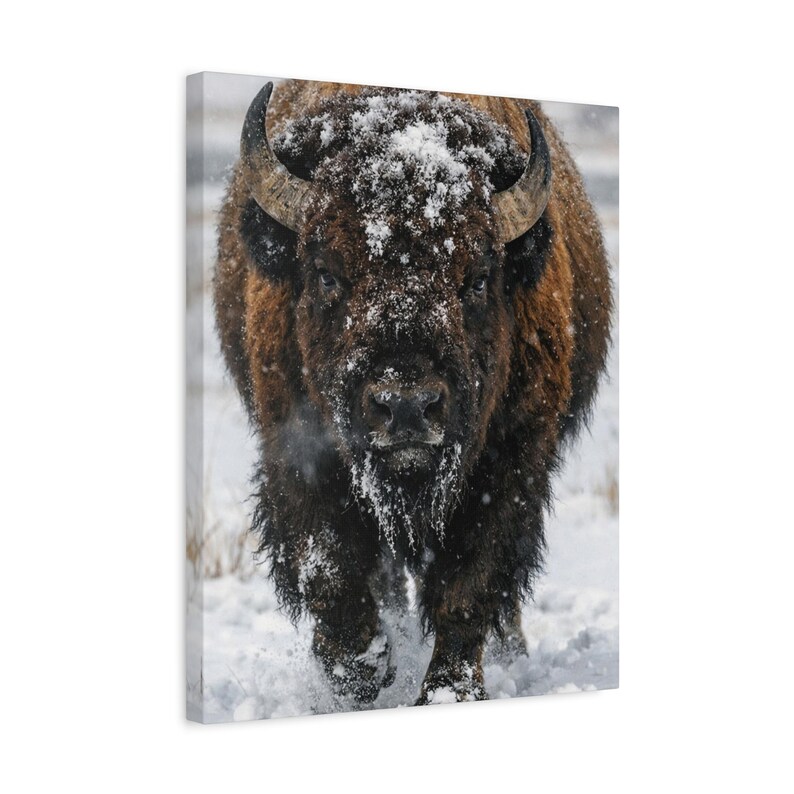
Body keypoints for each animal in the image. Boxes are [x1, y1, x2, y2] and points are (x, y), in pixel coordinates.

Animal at [213, 79, 612, 705]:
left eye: (477, 278)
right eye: (326, 272)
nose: (405, 406)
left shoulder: (509, 467)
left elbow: (470, 587)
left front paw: (448, 691)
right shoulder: (299, 455)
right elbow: (330, 572)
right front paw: (366, 671)